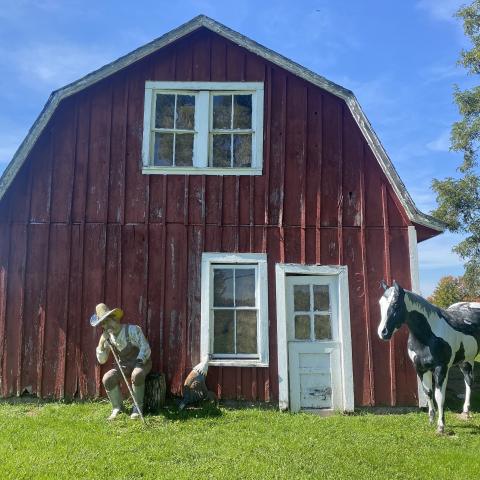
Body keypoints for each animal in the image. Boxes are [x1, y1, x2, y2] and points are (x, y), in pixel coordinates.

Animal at [378, 282, 480, 436]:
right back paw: (466, 412)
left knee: (469, 382)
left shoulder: (441, 368)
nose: (382, 333)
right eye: (380, 304)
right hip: (465, 361)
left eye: (395, 304)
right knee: (468, 381)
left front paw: (441, 426)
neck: (428, 336)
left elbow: (439, 396)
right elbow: (428, 392)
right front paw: (431, 419)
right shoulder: (420, 368)